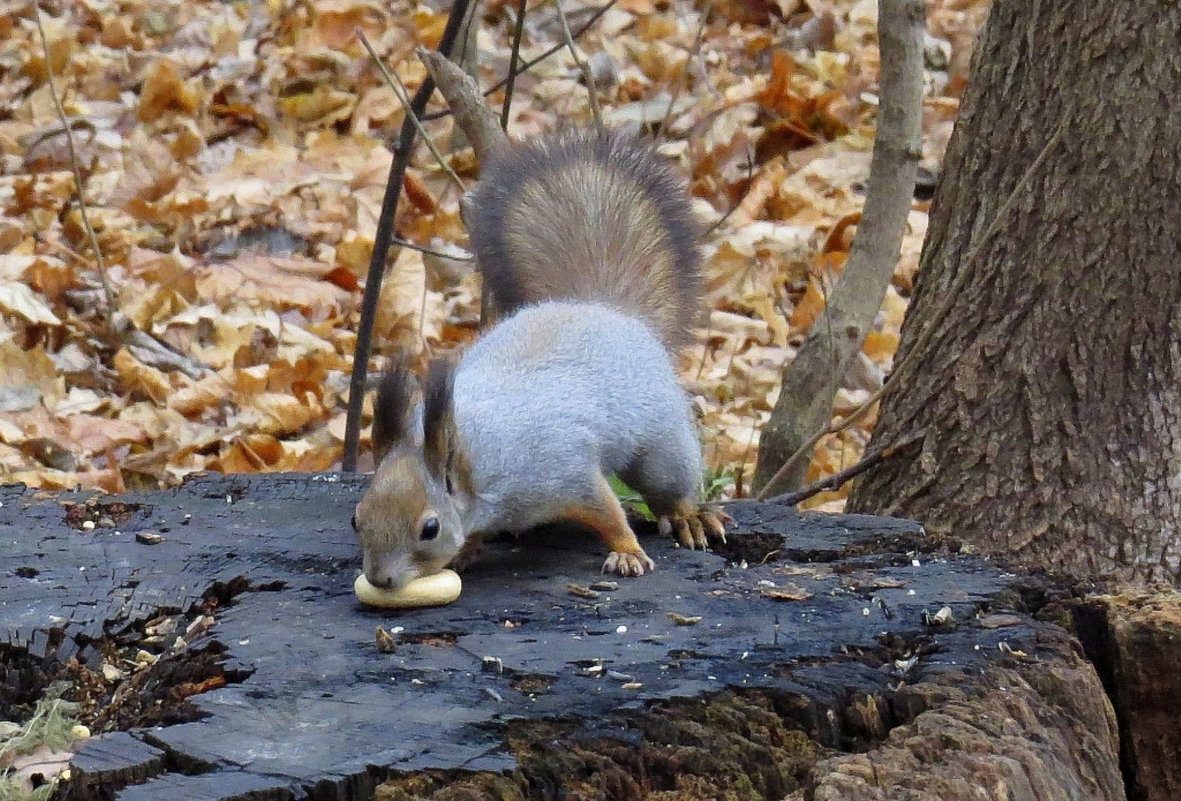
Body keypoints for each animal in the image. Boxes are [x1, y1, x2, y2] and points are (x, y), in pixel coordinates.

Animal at [349, 128, 722, 593]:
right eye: (356, 519)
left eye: (429, 528)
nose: (379, 578)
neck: (473, 459)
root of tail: (604, 310)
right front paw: (468, 550)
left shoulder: (561, 472)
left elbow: (607, 510)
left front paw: (628, 551)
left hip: (661, 443)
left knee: (671, 482)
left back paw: (688, 515)